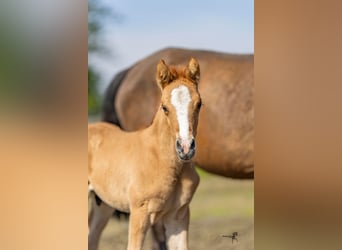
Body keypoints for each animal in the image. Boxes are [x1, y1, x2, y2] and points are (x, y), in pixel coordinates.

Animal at [87, 57, 203, 249]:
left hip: (102, 204)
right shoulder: (140, 213)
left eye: (199, 104)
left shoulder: (178, 216)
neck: (161, 159)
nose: (186, 148)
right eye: (164, 107)